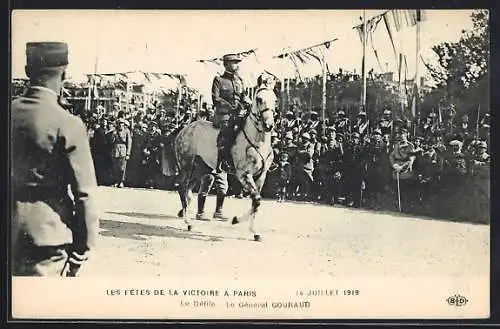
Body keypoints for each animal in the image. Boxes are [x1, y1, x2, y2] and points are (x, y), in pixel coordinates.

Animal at [174, 80, 278, 238]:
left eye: (275, 100)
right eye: (259, 99)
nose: (268, 125)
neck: (257, 141)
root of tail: (184, 130)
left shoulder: (261, 176)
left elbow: (256, 202)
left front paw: (253, 231)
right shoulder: (244, 174)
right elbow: (257, 200)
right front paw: (238, 221)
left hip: (200, 169)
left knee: (189, 190)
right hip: (186, 165)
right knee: (182, 188)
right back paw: (188, 222)